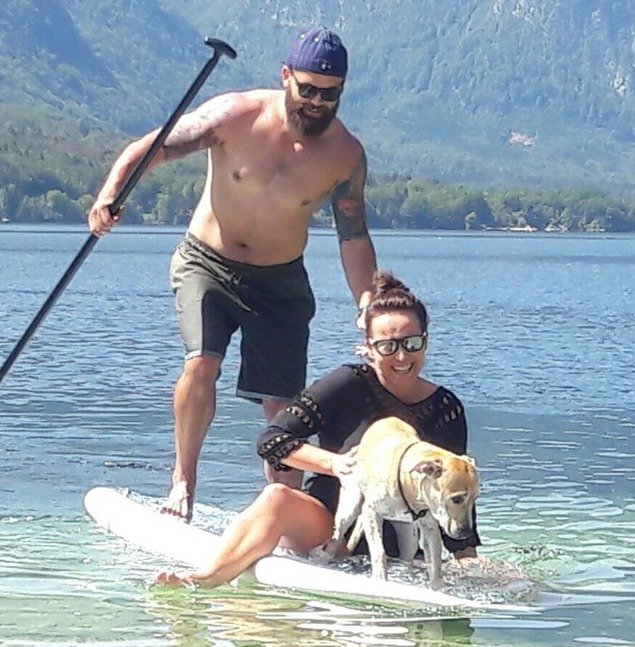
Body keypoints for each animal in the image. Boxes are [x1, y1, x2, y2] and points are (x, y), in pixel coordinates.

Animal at [332, 418, 476, 588]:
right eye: (457, 499)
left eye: (475, 498)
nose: (467, 532)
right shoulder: (371, 512)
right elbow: (379, 551)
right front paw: (380, 578)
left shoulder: (430, 525)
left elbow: (435, 557)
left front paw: (437, 586)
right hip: (348, 509)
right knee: (337, 536)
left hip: (408, 535)